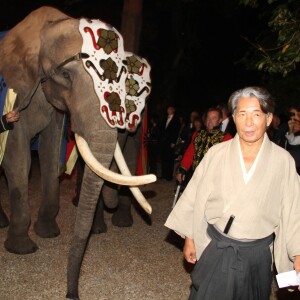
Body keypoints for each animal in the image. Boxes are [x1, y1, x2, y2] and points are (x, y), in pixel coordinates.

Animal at [0, 5, 155, 298]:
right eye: (66, 75)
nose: (72, 294)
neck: (44, 28)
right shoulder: (16, 90)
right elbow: (19, 157)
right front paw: (23, 249)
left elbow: (50, 155)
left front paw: (49, 234)